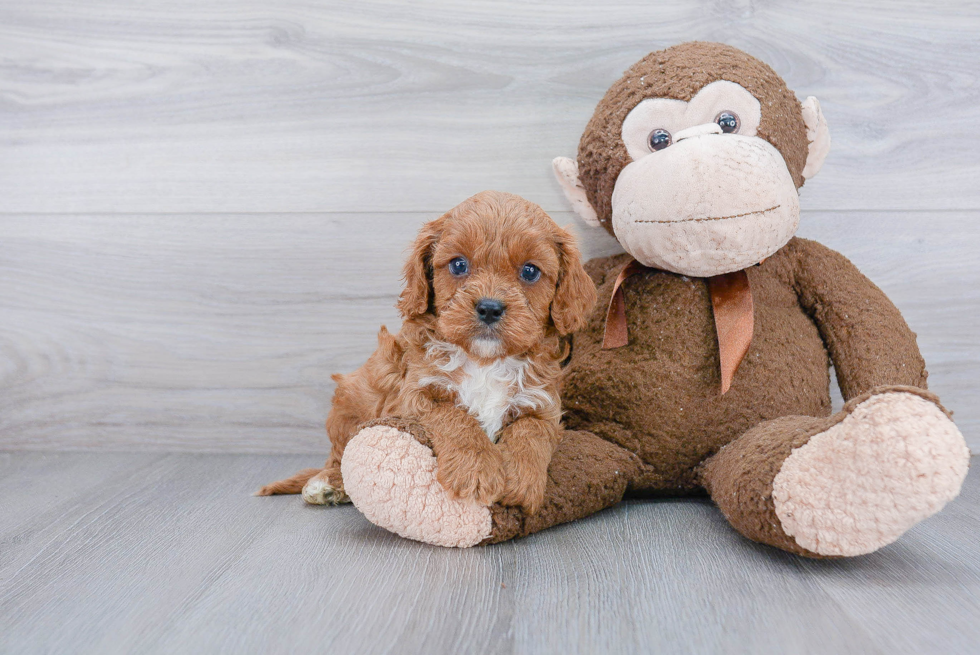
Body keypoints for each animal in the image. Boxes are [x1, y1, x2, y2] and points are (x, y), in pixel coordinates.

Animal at [258, 190, 596, 512]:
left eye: (530, 271)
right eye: (458, 264)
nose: (489, 308)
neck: (484, 360)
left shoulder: (543, 403)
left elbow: (532, 432)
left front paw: (519, 479)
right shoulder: (414, 395)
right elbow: (455, 417)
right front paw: (475, 471)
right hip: (349, 403)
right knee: (340, 457)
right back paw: (327, 484)